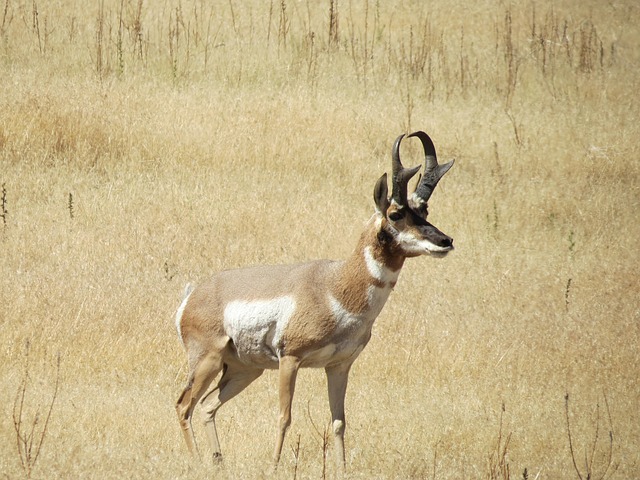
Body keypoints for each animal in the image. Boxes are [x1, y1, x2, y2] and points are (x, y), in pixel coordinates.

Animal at [174, 131, 455, 471]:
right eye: (396, 213)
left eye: (424, 210)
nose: (445, 241)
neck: (335, 286)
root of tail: (193, 295)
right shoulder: (290, 360)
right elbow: (284, 417)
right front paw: (274, 467)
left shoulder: (338, 366)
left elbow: (339, 421)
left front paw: (342, 470)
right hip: (209, 361)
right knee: (184, 405)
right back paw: (197, 462)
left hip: (244, 370)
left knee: (206, 406)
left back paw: (218, 462)